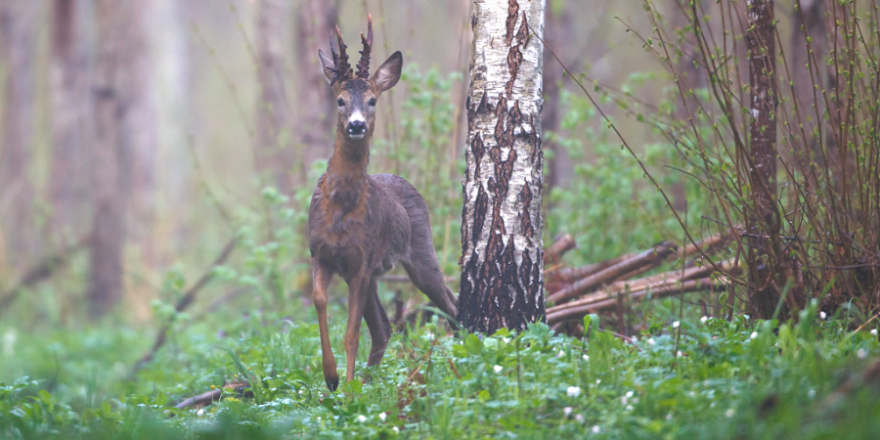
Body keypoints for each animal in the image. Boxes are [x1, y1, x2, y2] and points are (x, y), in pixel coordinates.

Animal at [308, 14, 458, 392]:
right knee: (384, 329)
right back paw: (368, 380)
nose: (357, 125)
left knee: (450, 305)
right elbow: (320, 301)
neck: (340, 209)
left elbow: (351, 333)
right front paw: (331, 377)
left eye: (373, 99)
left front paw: (344, 388)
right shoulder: (321, 254)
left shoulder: (361, 262)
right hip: (376, 274)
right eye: (340, 100)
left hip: (420, 252)